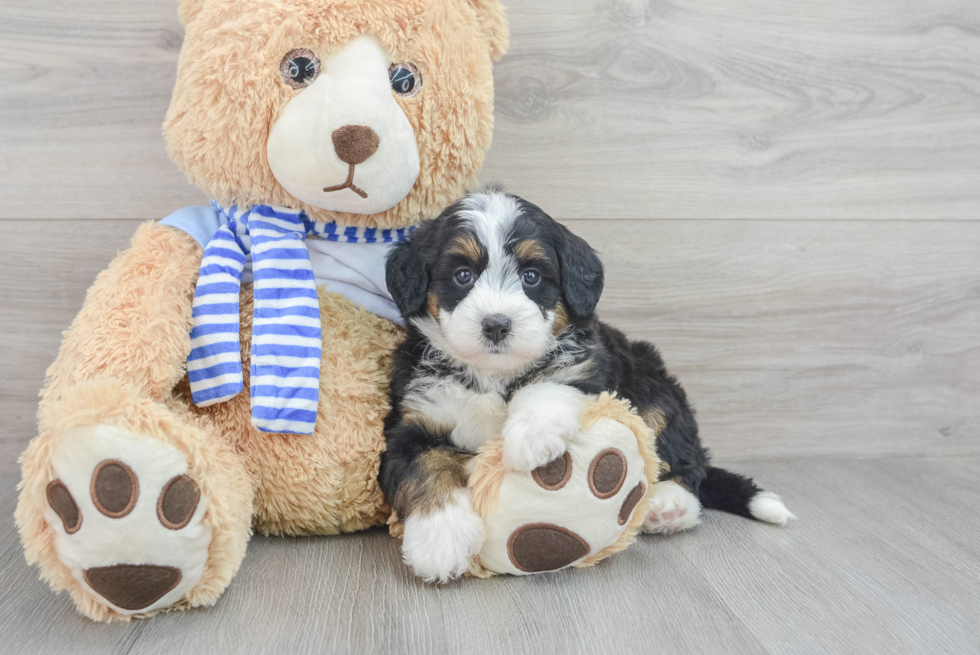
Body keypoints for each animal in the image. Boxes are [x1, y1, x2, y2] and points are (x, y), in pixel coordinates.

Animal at [378, 190, 792, 584]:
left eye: (531, 277)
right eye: (463, 275)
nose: (496, 324)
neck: (494, 374)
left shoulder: (589, 366)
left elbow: (550, 382)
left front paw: (531, 437)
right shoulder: (411, 420)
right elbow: (423, 466)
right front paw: (440, 539)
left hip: (654, 385)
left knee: (686, 459)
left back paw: (670, 505)